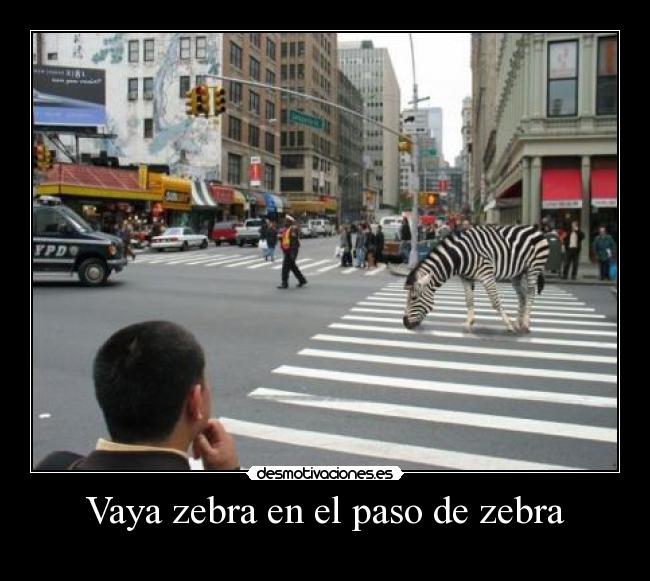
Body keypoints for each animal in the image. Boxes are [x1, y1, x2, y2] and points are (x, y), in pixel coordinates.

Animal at [403, 225, 550, 333]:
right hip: (517, 274)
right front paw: (469, 323)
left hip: (533, 268)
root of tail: (534, 229)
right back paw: (519, 323)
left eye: (414, 298)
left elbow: (495, 302)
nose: (405, 324)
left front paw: (508, 325)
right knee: (522, 296)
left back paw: (525, 324)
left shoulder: (487, 275)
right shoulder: (466, 278)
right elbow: (469, 300)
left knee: (530, 293)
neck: (459, 257)